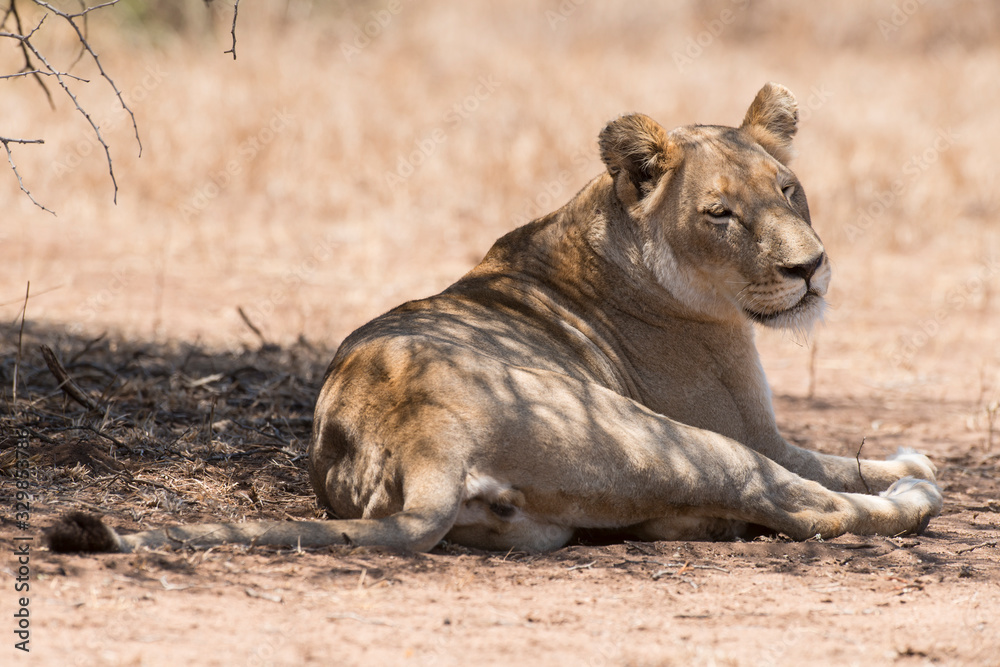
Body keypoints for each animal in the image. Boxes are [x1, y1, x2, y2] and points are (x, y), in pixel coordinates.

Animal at [48, 83, 942, 555]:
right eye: (721, 213)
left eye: (788, 190)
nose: (809, 268)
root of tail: (421, 440)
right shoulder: (754, 429)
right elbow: (829, 466)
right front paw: (913, 466)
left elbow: (844, 457)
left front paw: (906, 453)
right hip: (667, 436)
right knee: (802, 504)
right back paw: (911, 499)